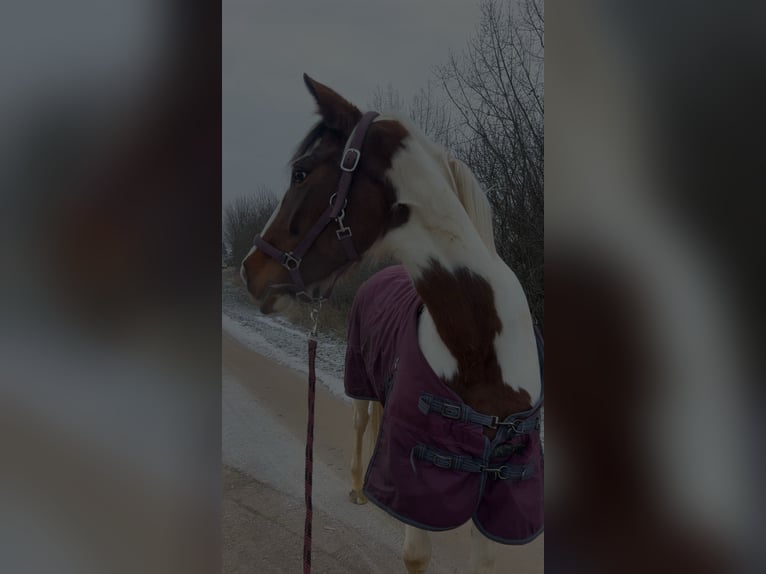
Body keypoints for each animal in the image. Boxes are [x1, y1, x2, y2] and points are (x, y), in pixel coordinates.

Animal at [241, 75, 543, 574]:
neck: (480, 350)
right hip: (360, 381)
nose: (250, 270)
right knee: (362, 421)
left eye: (301, 172)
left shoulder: (498, 491)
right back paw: (357, 487)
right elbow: (415, 553)